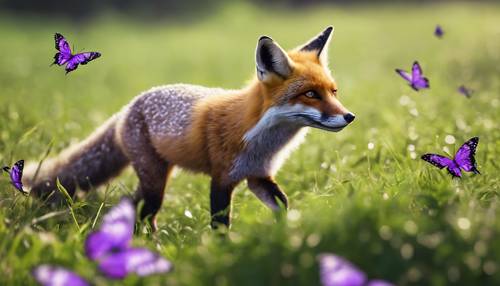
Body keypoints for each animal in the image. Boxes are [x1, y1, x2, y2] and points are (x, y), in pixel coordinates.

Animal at [24, 26, 356, 230]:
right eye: (310, 94)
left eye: (333, 92)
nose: (349, 116)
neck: (261, 140)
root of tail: (127, 108)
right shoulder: (222, 178)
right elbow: (220, 226)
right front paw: (223, 252)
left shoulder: (258, 177)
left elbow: (284, 207)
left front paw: (288, 233)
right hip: (155, 181)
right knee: (144, 212)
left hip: (154, 177)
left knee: (130, 205)